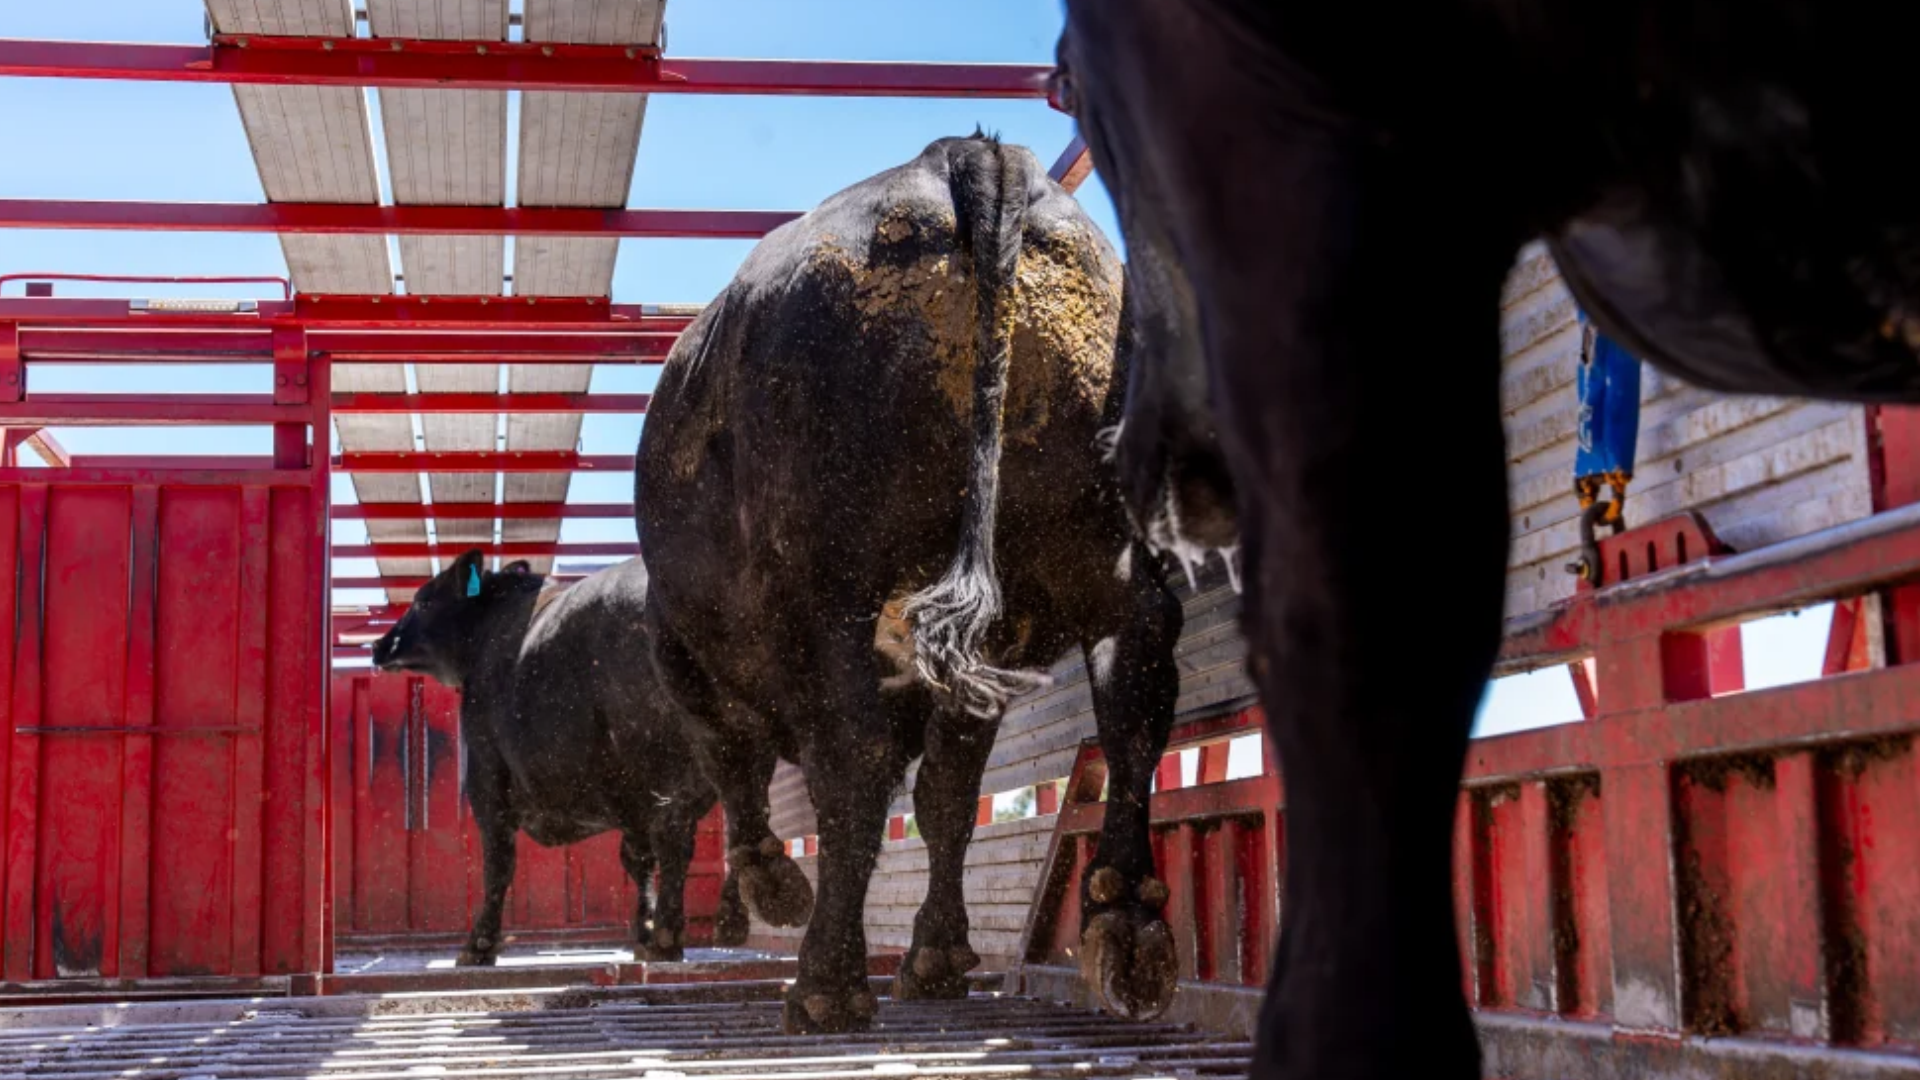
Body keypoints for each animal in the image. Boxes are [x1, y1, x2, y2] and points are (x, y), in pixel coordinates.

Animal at [370, 550, 764, 966]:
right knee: (745, 820)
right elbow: (637, 860)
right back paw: (734, 916)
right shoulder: (632, 798)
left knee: (677, 839)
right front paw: (641, 930)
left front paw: (479, 945)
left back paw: (668, 938)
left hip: (667, 762)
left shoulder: (487, 776)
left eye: (422, 601)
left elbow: (498, 861)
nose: (380, 644)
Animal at [634, 131, 1185, 1034]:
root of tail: (967, 158)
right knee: (1133, 689)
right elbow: (948, 798)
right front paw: (938, 955)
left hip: (842, 593)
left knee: (850, 759)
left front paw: (774, 884)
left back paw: (825, 982)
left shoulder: (690, 657)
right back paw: (1127, 924)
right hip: (1102, 554)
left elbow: (744, 770)